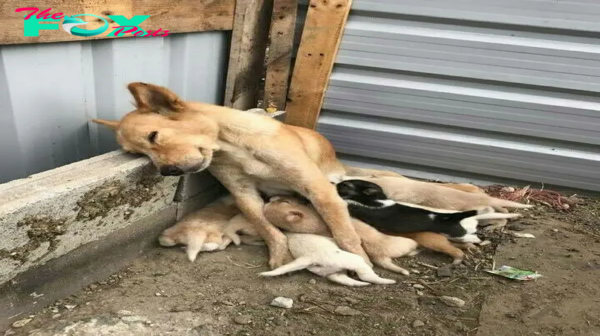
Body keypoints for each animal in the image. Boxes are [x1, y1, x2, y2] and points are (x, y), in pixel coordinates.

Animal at [92, 82, 488, 270]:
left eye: (154, 137)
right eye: (140, 156)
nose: (167, 171)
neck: (234, 146)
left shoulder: (319, 190)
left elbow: (346, 235)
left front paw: (359, 258)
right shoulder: (246, 196)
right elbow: (268, 228)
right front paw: (280, 255)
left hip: (363, 179)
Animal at [336, 180, 524, 243]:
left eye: (345, 186)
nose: (335, 183)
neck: (378, 199)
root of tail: (455, 217)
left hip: (458, 234)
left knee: (472, 238)